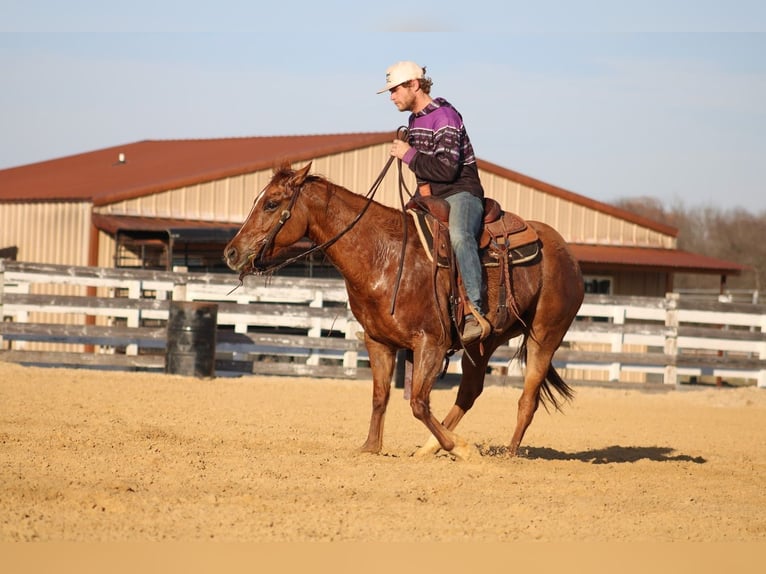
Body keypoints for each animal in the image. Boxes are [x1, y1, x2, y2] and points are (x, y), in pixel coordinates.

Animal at [224, 162, 584, 459]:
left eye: (271, 204)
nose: (231, 253)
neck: (384, 255)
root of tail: (566, 252)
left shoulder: (431, 344)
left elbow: (418, 403)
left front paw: (460, 447)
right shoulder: (378, 342)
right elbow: (380, 396)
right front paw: (371, 447)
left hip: (545, 335)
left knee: (527, 399)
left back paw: (506, 455)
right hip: (484, 341)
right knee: (469, 392)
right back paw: (429, 449)